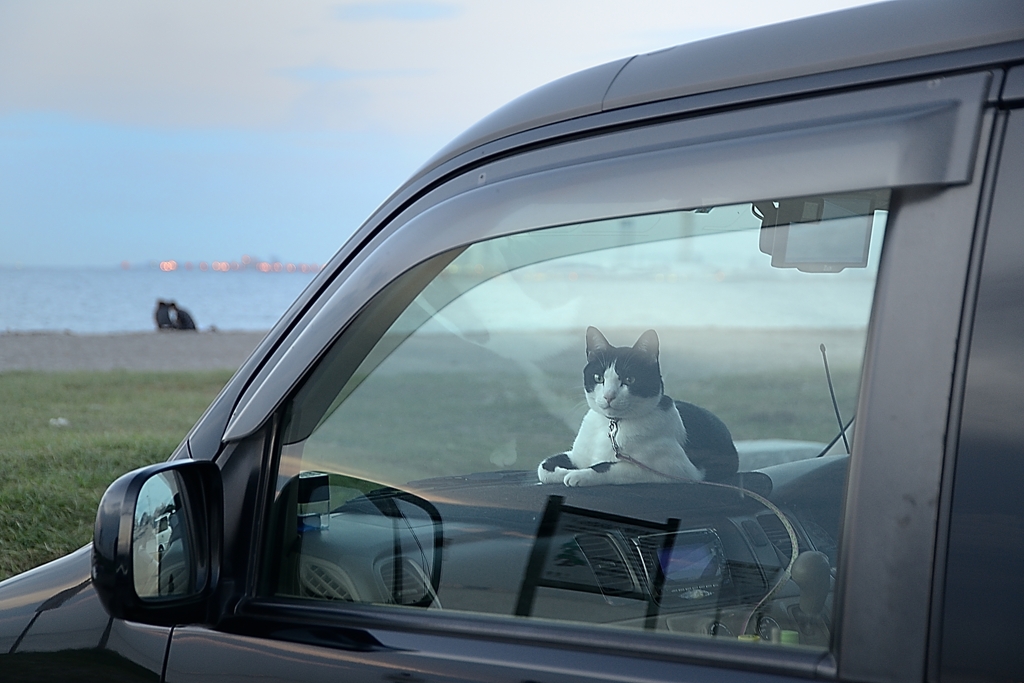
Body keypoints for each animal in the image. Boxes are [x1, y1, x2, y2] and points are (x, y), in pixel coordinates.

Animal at [536, 325, 737, 485]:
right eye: (598, 378)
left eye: (629, 379)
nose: (609, 396)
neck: (613, 426)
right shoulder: (576, 455)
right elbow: (544, 467)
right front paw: (566, 472)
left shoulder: (676, 470)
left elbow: (608, 466)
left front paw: (579, 475)